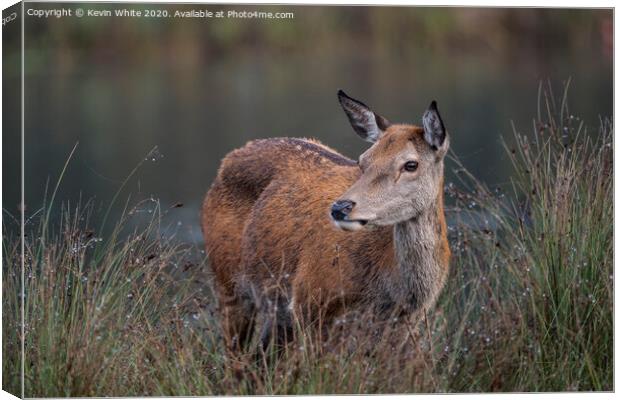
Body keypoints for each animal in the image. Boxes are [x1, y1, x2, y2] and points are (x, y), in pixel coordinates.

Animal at [203, 90, 450, 354]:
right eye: (362, 161)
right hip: (227, 282)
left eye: (411, 164)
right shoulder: (309, 300)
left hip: (276, 315)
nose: (340, 208)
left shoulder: (406, 324)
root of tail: (226, 160)